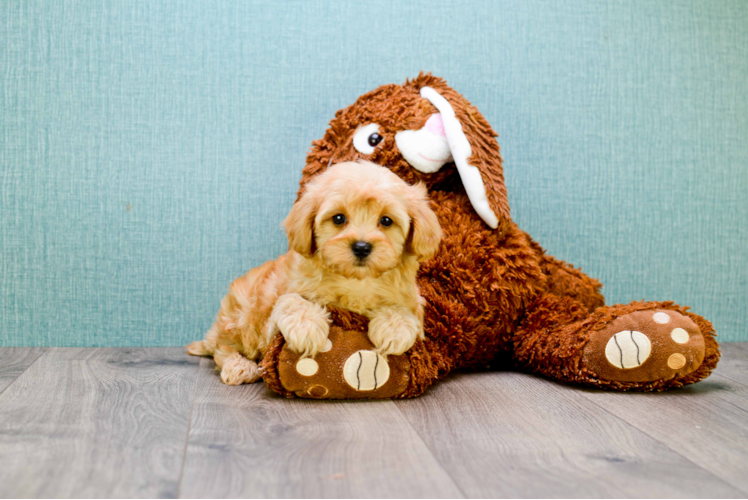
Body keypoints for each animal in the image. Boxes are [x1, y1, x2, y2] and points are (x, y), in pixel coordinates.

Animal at [188, 160, 444, 382]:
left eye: (387, 221)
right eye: (338, 218)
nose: (362, 247)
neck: (356, 282)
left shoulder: (412, 302)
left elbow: (404, 312)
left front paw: (393, 329)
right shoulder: (271, 327)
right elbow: (291, 301)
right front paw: (307, 328)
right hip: (240, 315)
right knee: (223, 349)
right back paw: (239, 366)